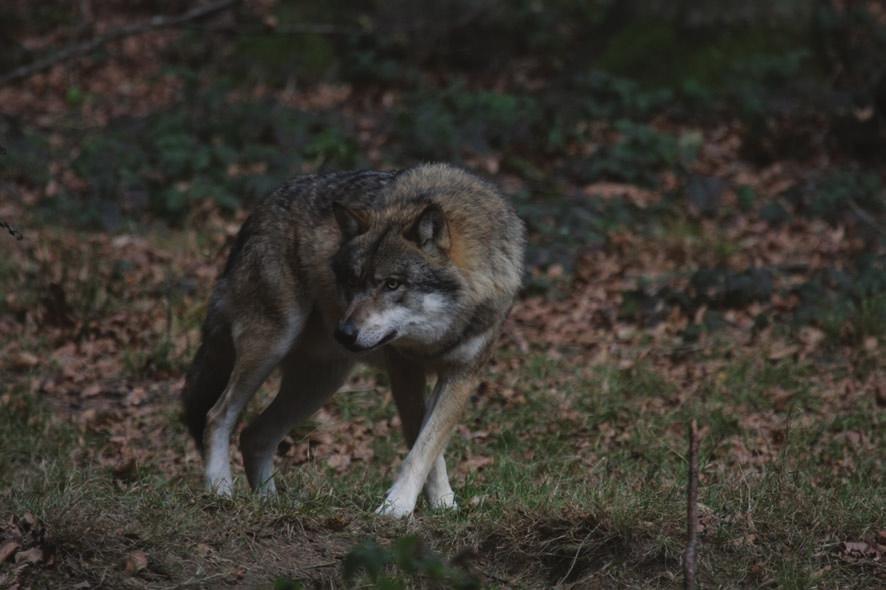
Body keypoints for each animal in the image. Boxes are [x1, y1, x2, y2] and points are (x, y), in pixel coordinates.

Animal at [183, 162, 524, 520]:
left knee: (254, 435)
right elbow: (421, 443)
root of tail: (257, 212)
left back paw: (269, 503)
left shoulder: (462, 376)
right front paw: (400, 506)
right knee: (217, 416)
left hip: (321, 382)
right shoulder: (404, 371)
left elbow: (428, 445)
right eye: (352, 281)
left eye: (392, 284)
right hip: (272, 346)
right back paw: (221, 490)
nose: (343, 333)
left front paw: (438, 504)